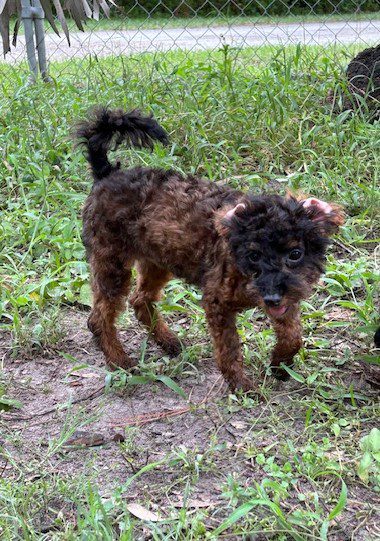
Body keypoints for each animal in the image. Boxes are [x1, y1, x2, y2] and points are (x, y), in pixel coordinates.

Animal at [75, 107, 342, 390]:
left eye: (295, 254)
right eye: (254, 255)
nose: (271, 298)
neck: (241, 268)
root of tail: (106, 174)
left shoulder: (287, 297)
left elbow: (293, 334)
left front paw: (280, 364)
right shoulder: (217, 304)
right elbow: (229, 351)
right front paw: (242, 386)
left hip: (158, 260)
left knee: (140, 300)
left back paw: (168, 341)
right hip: (111, 262)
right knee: (98, 318)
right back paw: (119, 361)